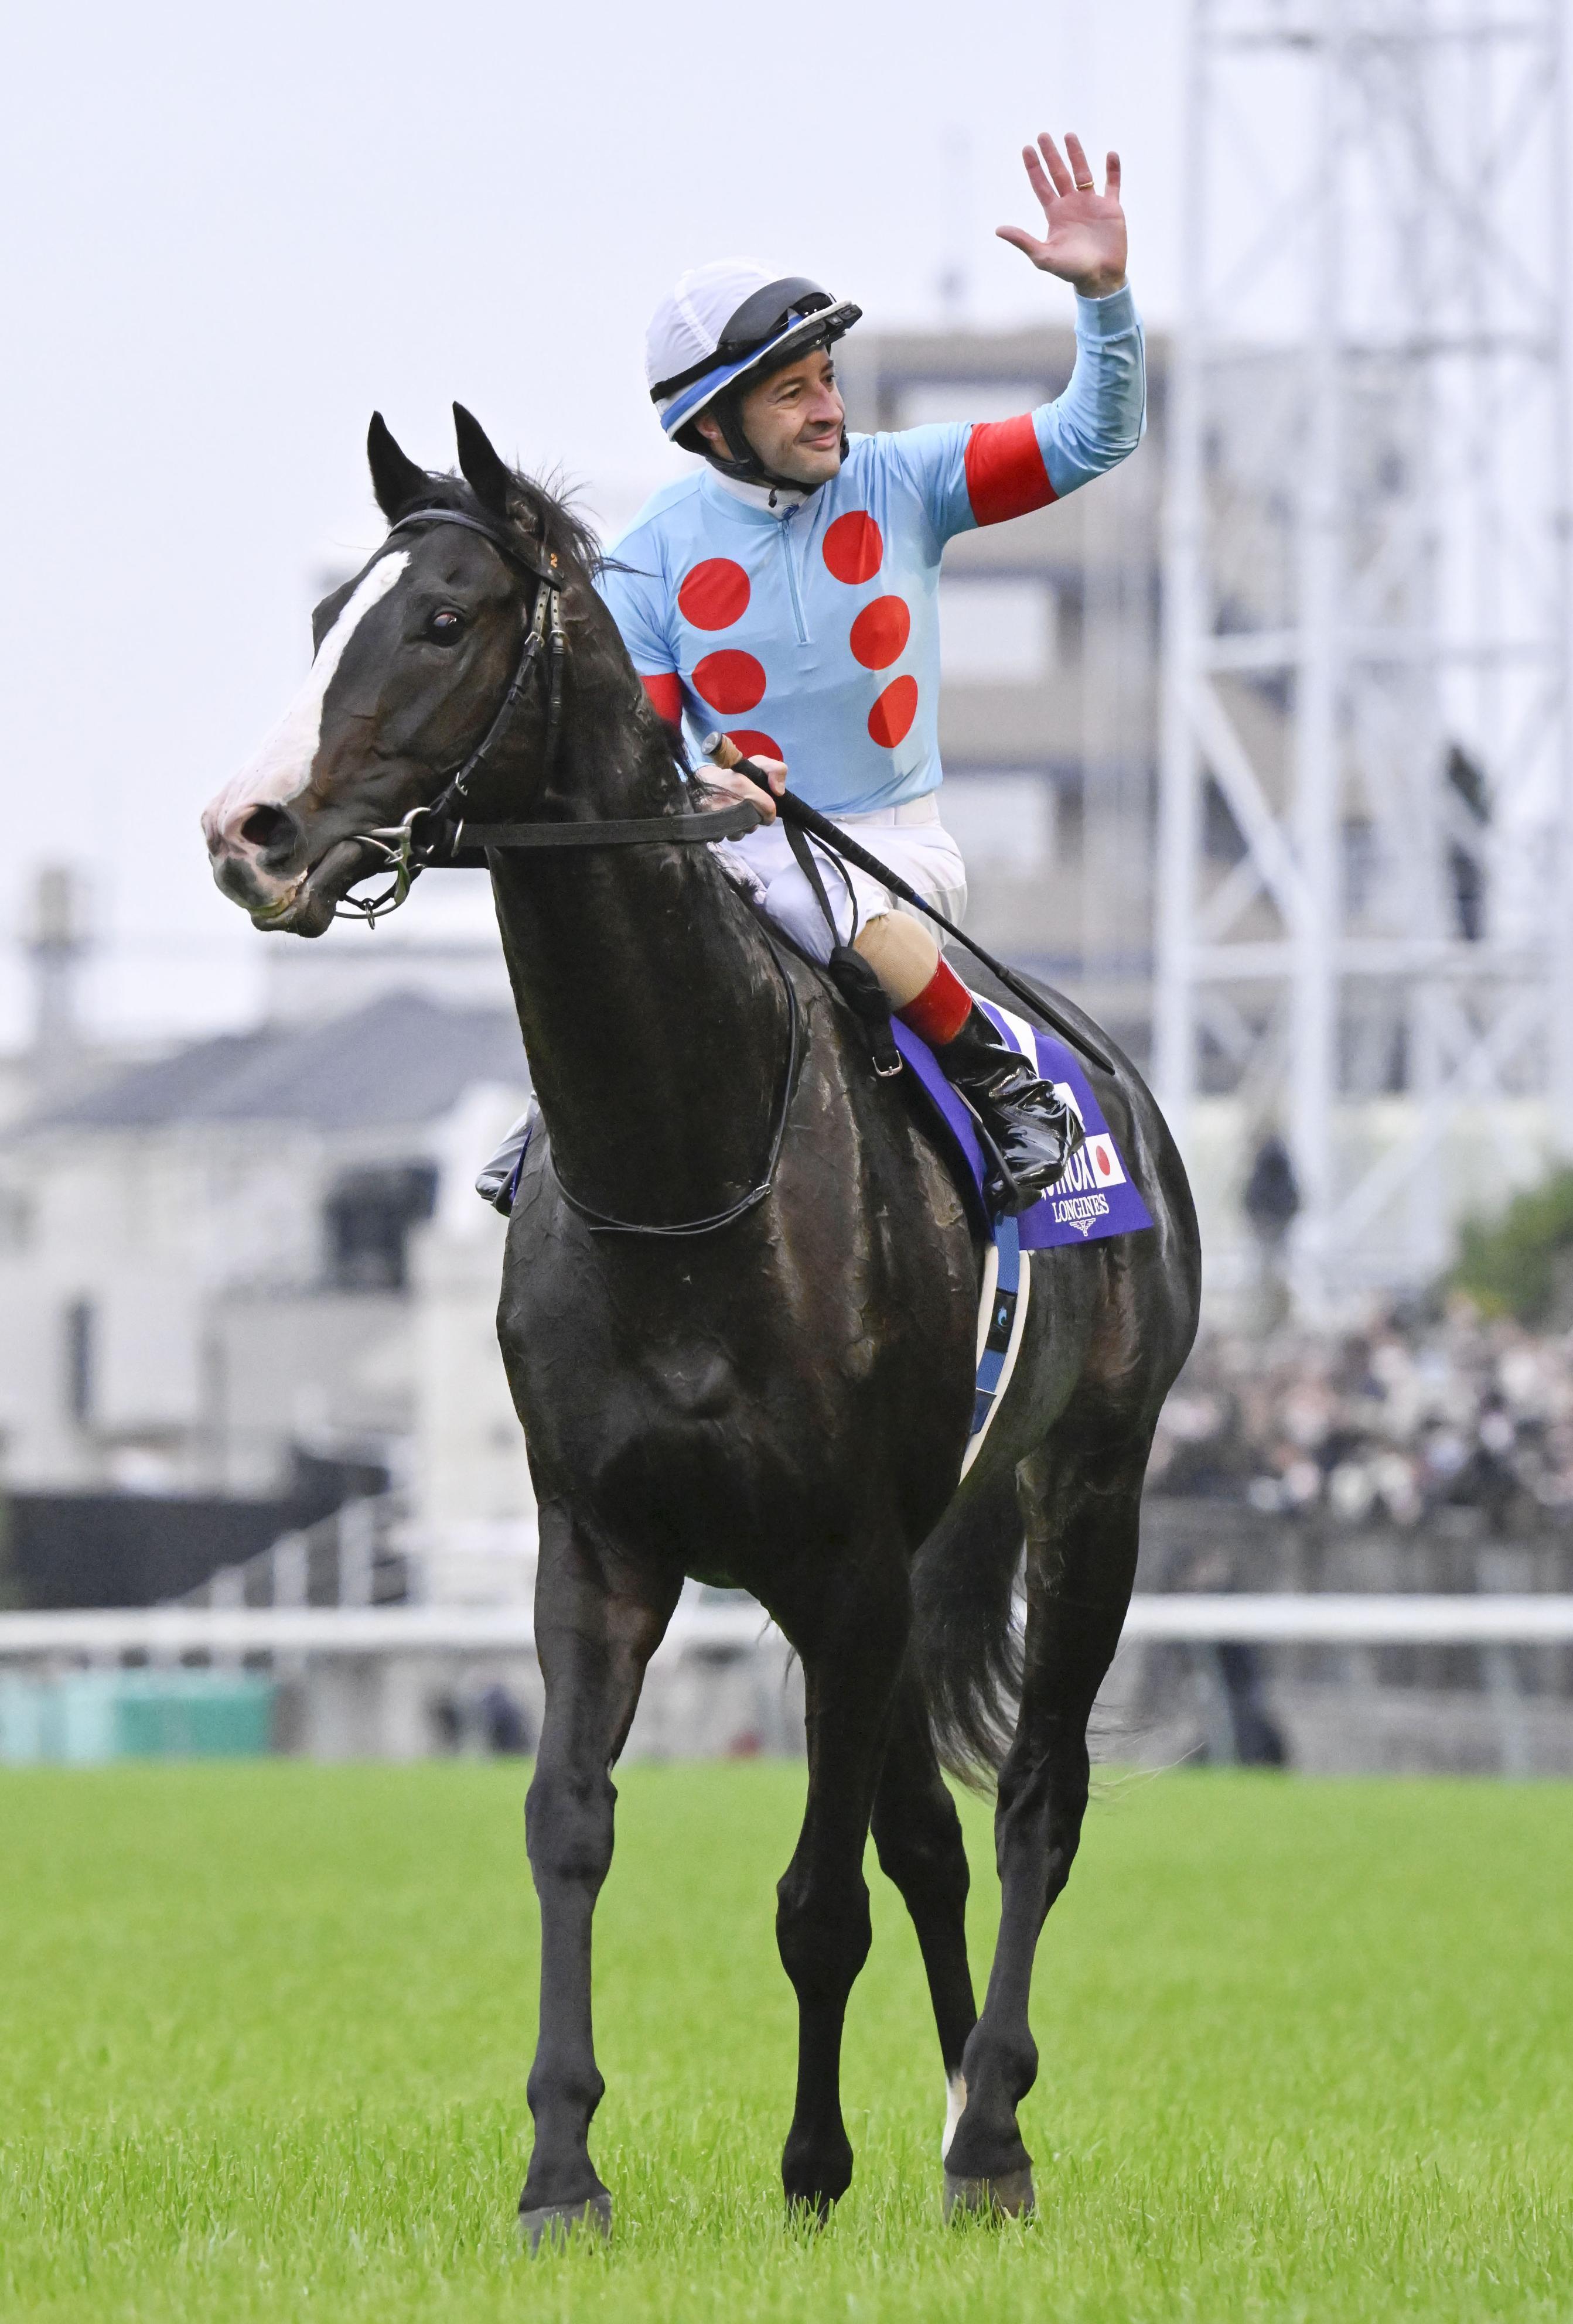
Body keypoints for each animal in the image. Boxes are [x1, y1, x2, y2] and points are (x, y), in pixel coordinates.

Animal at [201, 405, 1202, 2246]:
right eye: (321, 618)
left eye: (439, 621)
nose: (251, 828)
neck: (682, 1160)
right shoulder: (601, 1539)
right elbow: (569, 1827)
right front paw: (561, 2172)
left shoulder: (843, 1559)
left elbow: (818, 1896)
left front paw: (811, 2168)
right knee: (930, 1834)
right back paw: (961, 2111)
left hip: (1088, 1484)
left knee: (1034, 1808)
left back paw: (990, 2131)